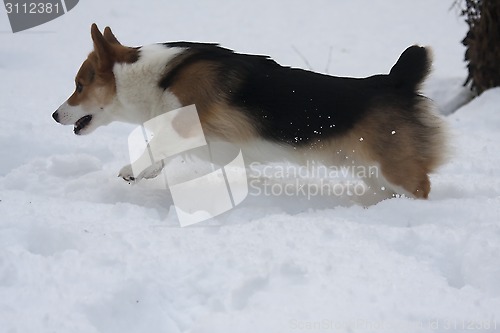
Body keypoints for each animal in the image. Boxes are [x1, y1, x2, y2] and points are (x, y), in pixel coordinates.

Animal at [52, 24, 448, 200]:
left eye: (79, 86)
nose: (55, 116)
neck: (154, 77)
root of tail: (396, 82)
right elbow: (161, 148)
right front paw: (143, 173)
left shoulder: (188, 119)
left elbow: (158, 142)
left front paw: (132, 169)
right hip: (370, 171)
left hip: (395, 169)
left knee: (421, 185)